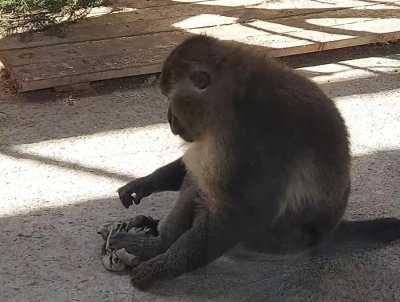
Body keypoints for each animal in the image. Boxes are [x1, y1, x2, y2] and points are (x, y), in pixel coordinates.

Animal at [108, 34, 400, 290]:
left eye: (170, 100)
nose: (169, 119)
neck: (233, 100)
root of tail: (328, 232)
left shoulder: (252, 136)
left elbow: (244, 212)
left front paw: (164, 266)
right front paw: (146, 183)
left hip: (276, 240)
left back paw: (158, 245)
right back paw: (160, 238)